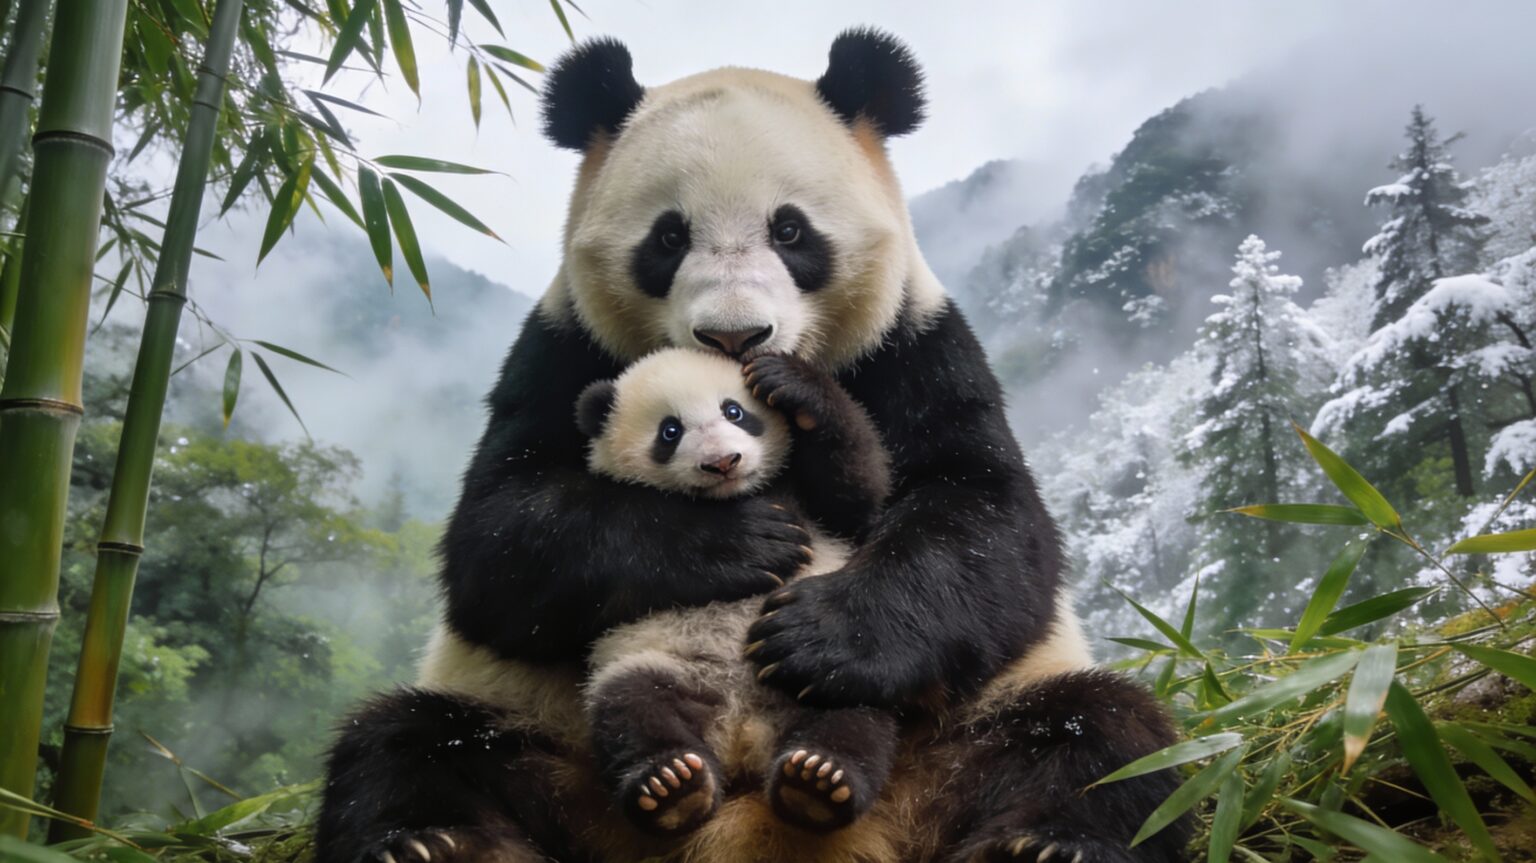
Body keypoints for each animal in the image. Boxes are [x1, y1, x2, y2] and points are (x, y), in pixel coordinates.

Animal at [318, 27, 1189, 863]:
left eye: (792, 230)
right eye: (669, 237)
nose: (735, 334)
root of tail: (742, 793)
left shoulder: (915, 343)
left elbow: (987, 517)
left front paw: (817, 631)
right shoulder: (562, 350)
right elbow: (499, 538)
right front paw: (734, 542)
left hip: (956, 728)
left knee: (1103, 734)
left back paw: (1036, 836)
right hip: (542, 726)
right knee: (407, 741)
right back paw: (443, 838)